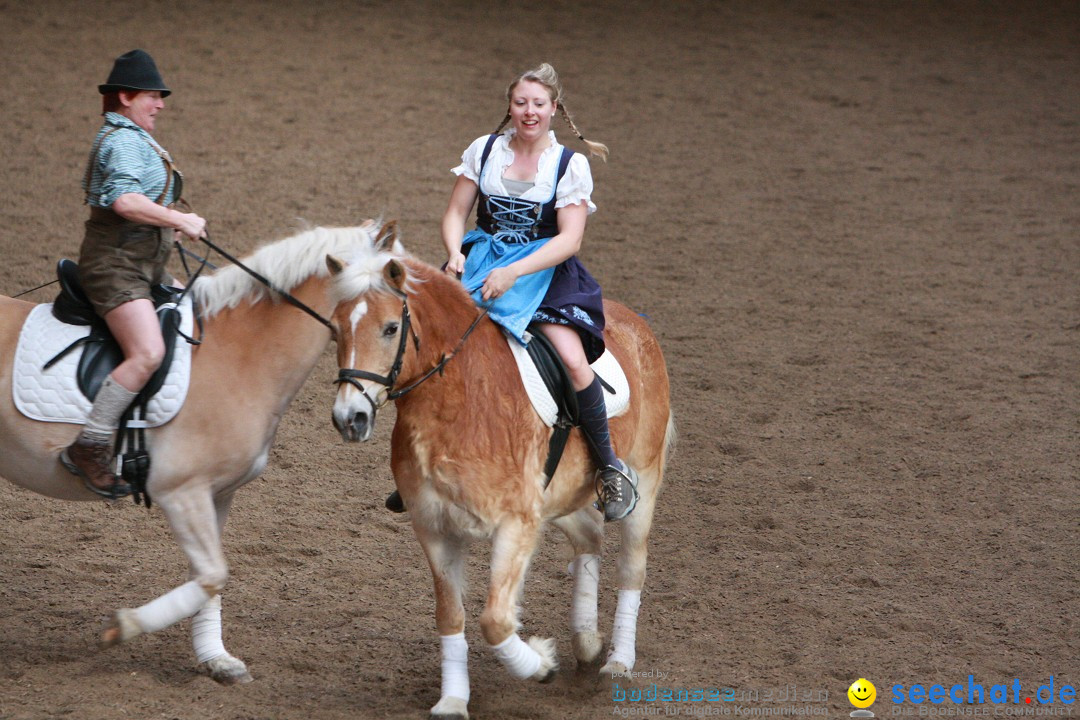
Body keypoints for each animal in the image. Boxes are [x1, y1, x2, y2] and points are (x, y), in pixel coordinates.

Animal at [0, 222, 393, 686]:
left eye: (395, 325)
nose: (354, 419)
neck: (239, 353)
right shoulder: (180, 492)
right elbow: (213, 575)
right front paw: (123, 627)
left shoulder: (217, 494)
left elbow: (209, 578)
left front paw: (216, 659)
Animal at [324, 232, 669, 720]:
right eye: (336, 329)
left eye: (391, 328)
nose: (348, 419)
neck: (459, 401)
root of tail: (637, 323)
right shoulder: (435, 528)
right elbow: (452, 616)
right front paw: (453, 699)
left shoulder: (515, 523)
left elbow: (494, 620)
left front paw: (540, 663)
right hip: (558, 497)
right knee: (589, 537)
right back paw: (586, 641)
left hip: (643, 477)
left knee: (632, 565)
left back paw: (617, 661)